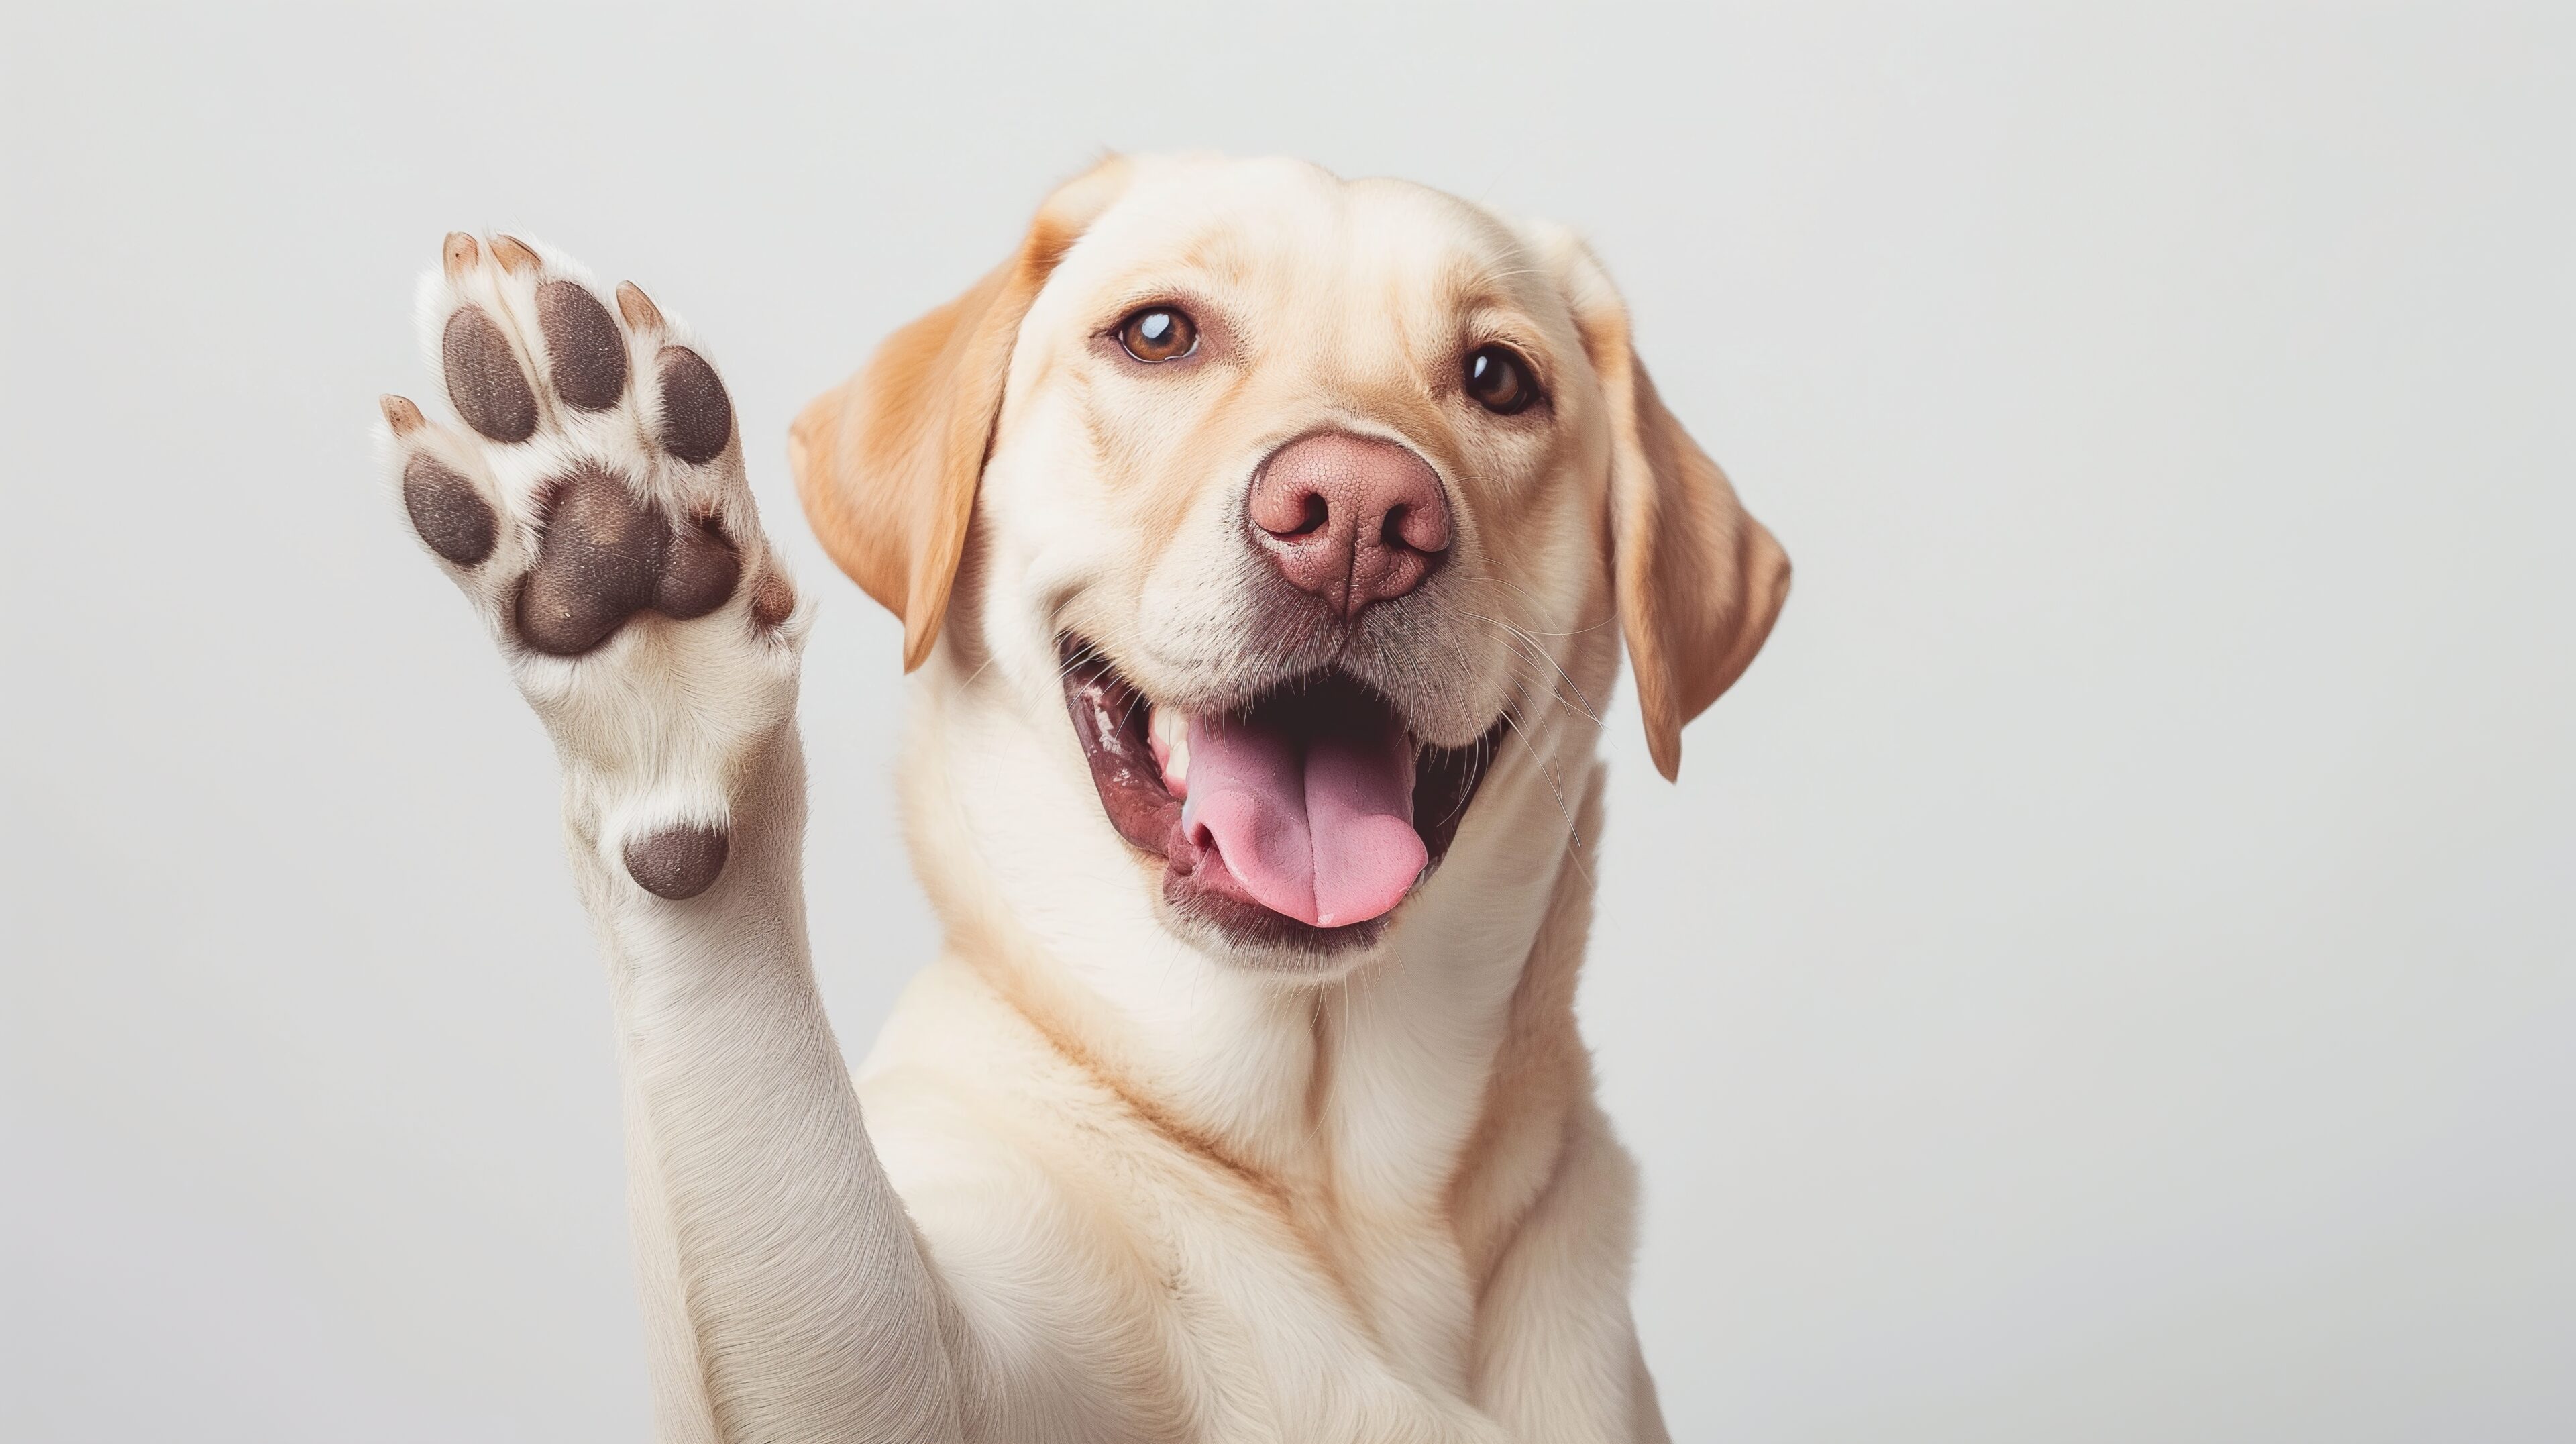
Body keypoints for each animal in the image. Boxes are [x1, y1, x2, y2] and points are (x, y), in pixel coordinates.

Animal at [381, 155, 1792, 1444]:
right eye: (1159, 334)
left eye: (1501, 378)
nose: (1356, 515)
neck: (1335, 1185)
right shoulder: (917, 1356)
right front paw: (634, 593)